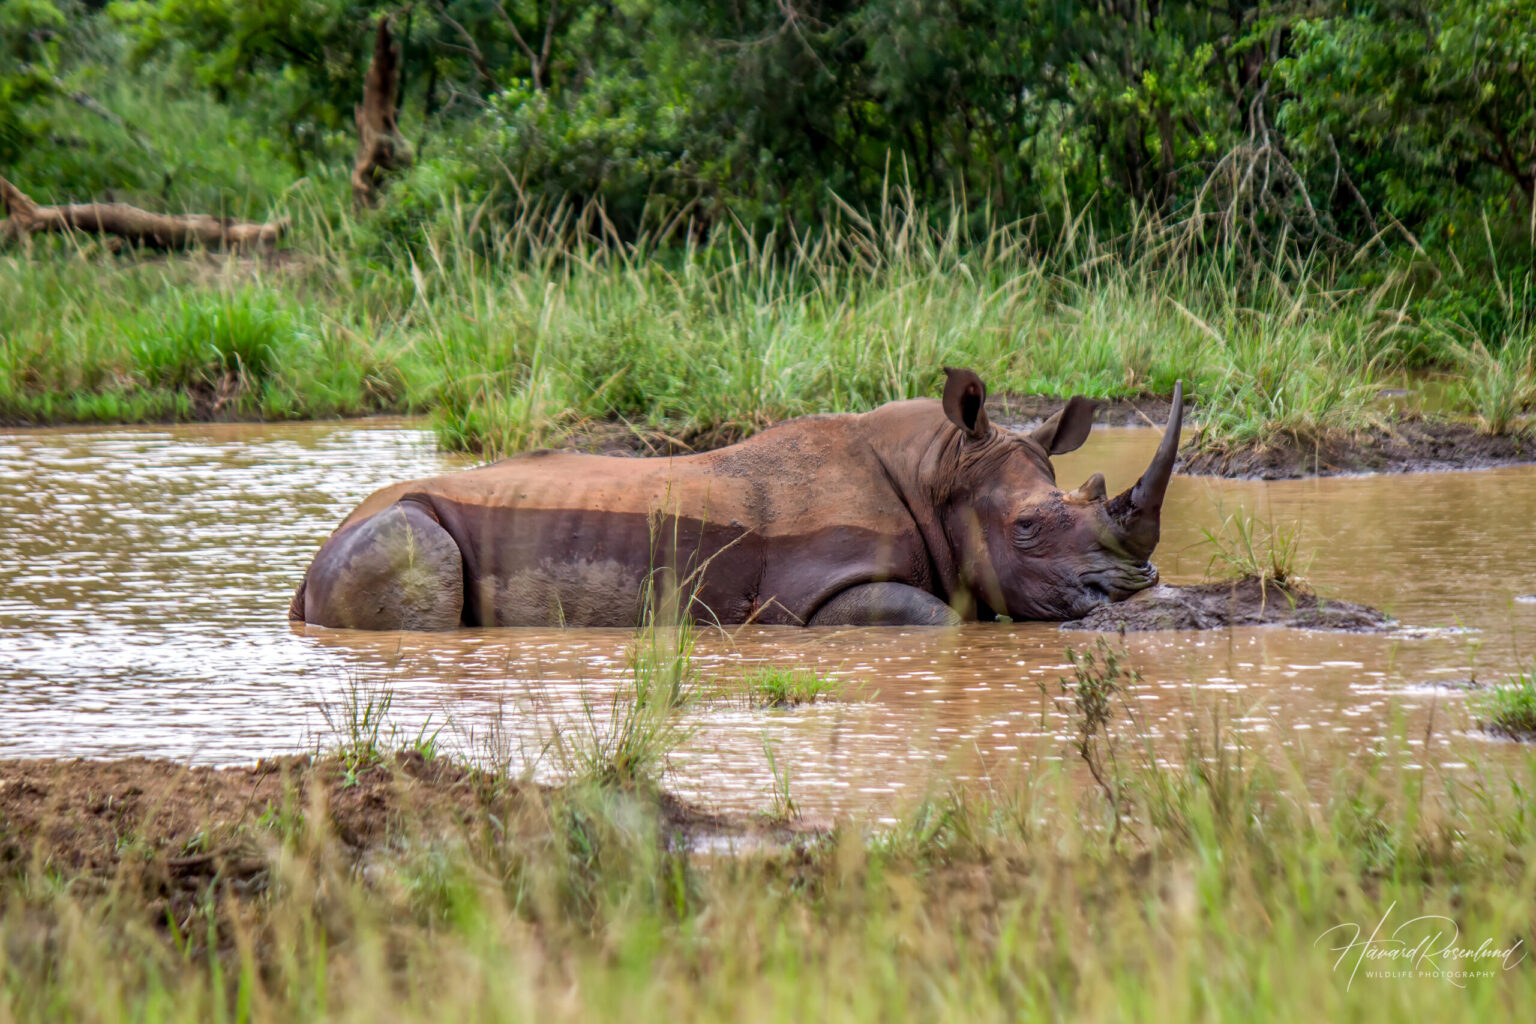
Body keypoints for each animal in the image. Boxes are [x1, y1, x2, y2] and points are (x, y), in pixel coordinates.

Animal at [290, 369, 1184, 629]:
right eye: (1028, 527)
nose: (1141, 592)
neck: (938, 470)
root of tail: (302, 573)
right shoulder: (816, 596)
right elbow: (946, 619)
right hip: (396, 533)